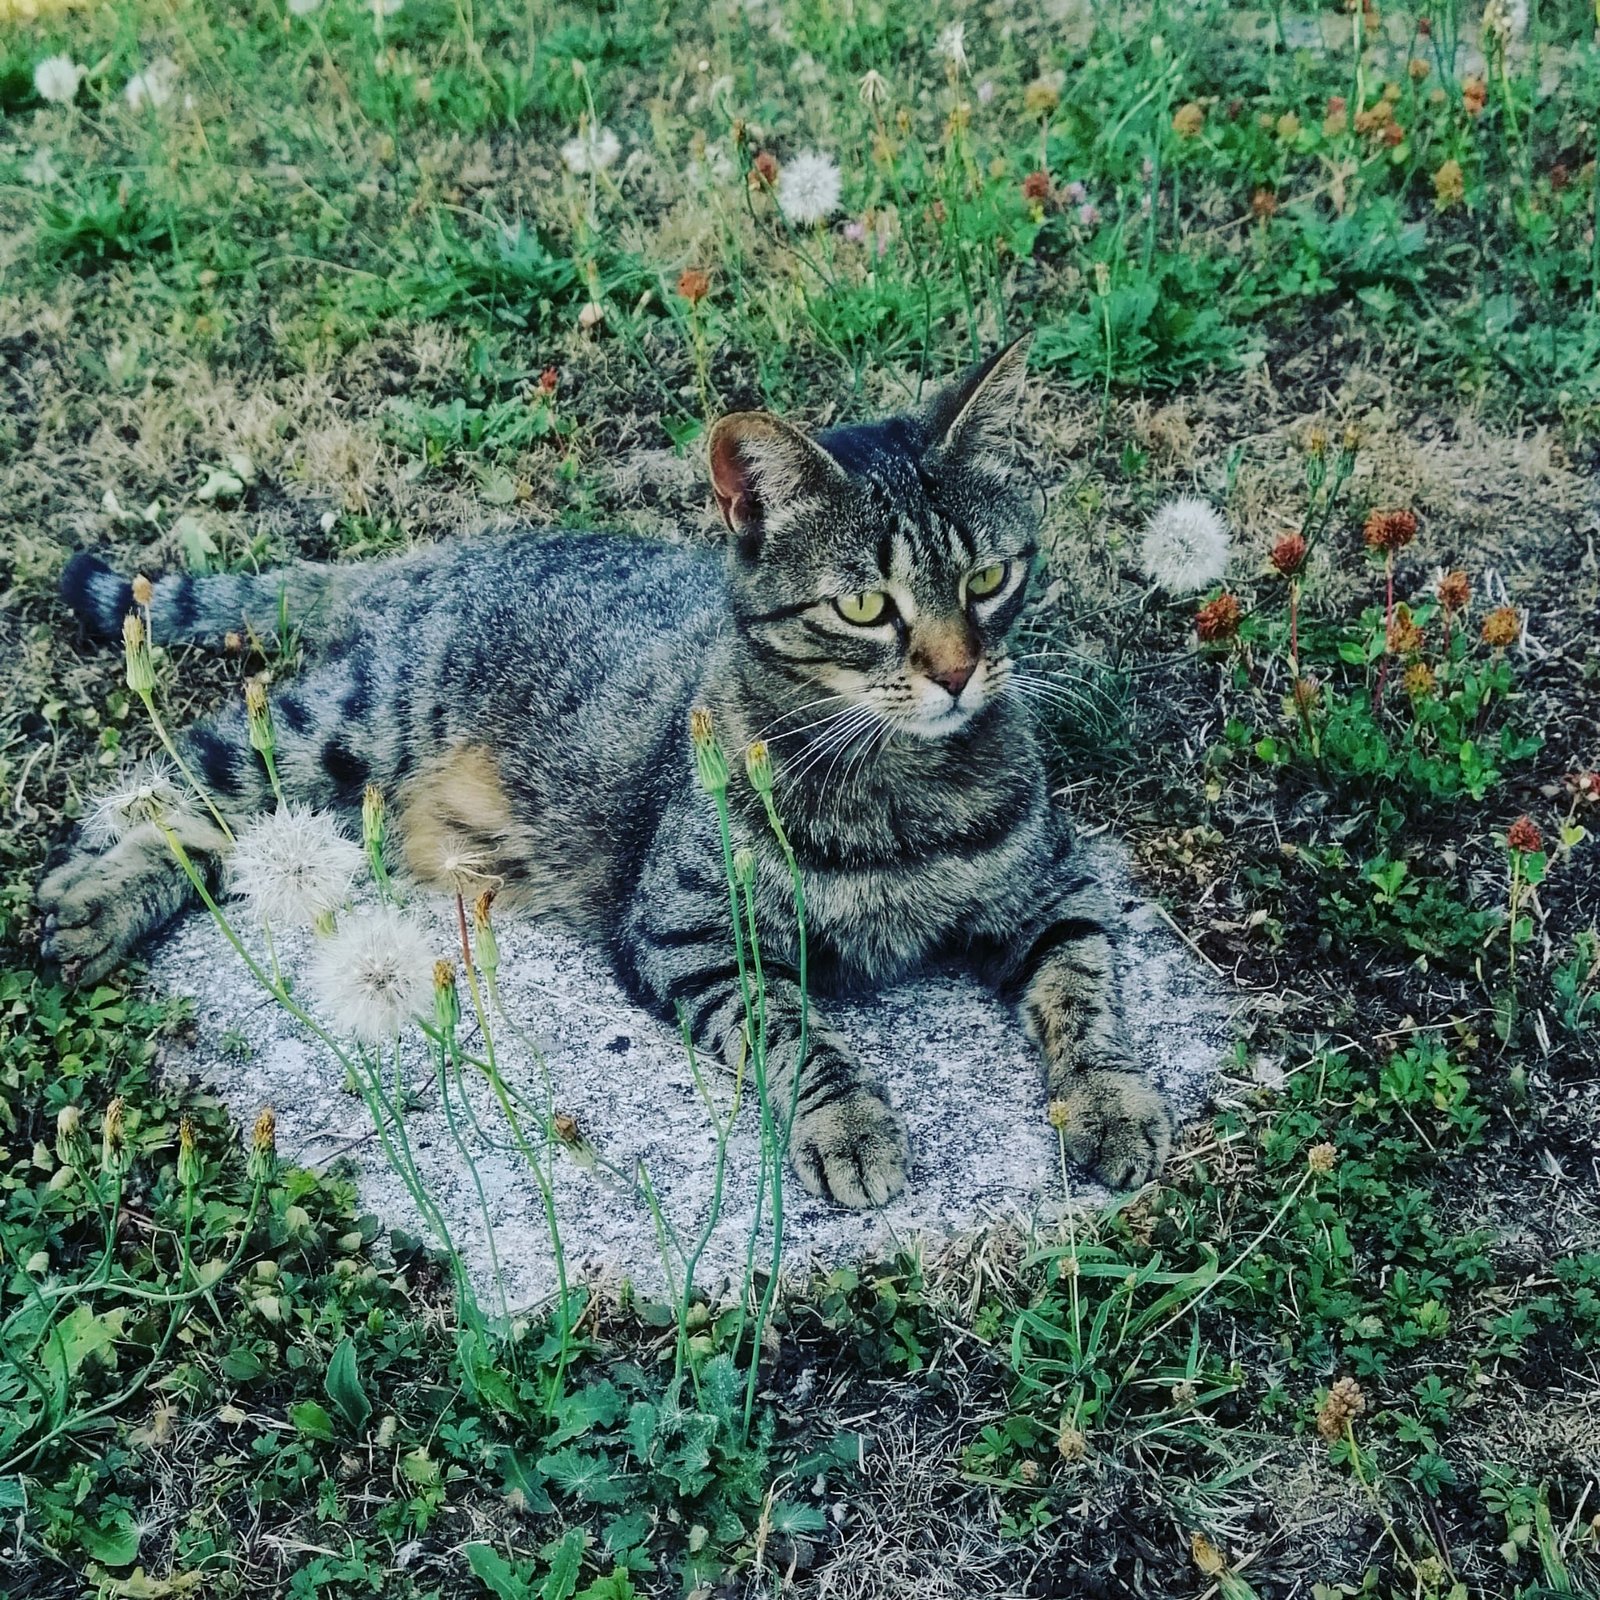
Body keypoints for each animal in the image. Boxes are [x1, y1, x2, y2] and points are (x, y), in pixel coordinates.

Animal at [43, 344, 1177, 1203]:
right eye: (864, 607)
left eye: (987, 578)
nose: (954, 671)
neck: (901, 785)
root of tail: (434, 556)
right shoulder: (689, 935)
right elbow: (796, 1032)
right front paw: (851, 1122)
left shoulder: (1056, 892)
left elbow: (1087, 992)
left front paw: (1113, 1104)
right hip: (336, 731)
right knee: (186, 783)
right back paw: (88, 896)